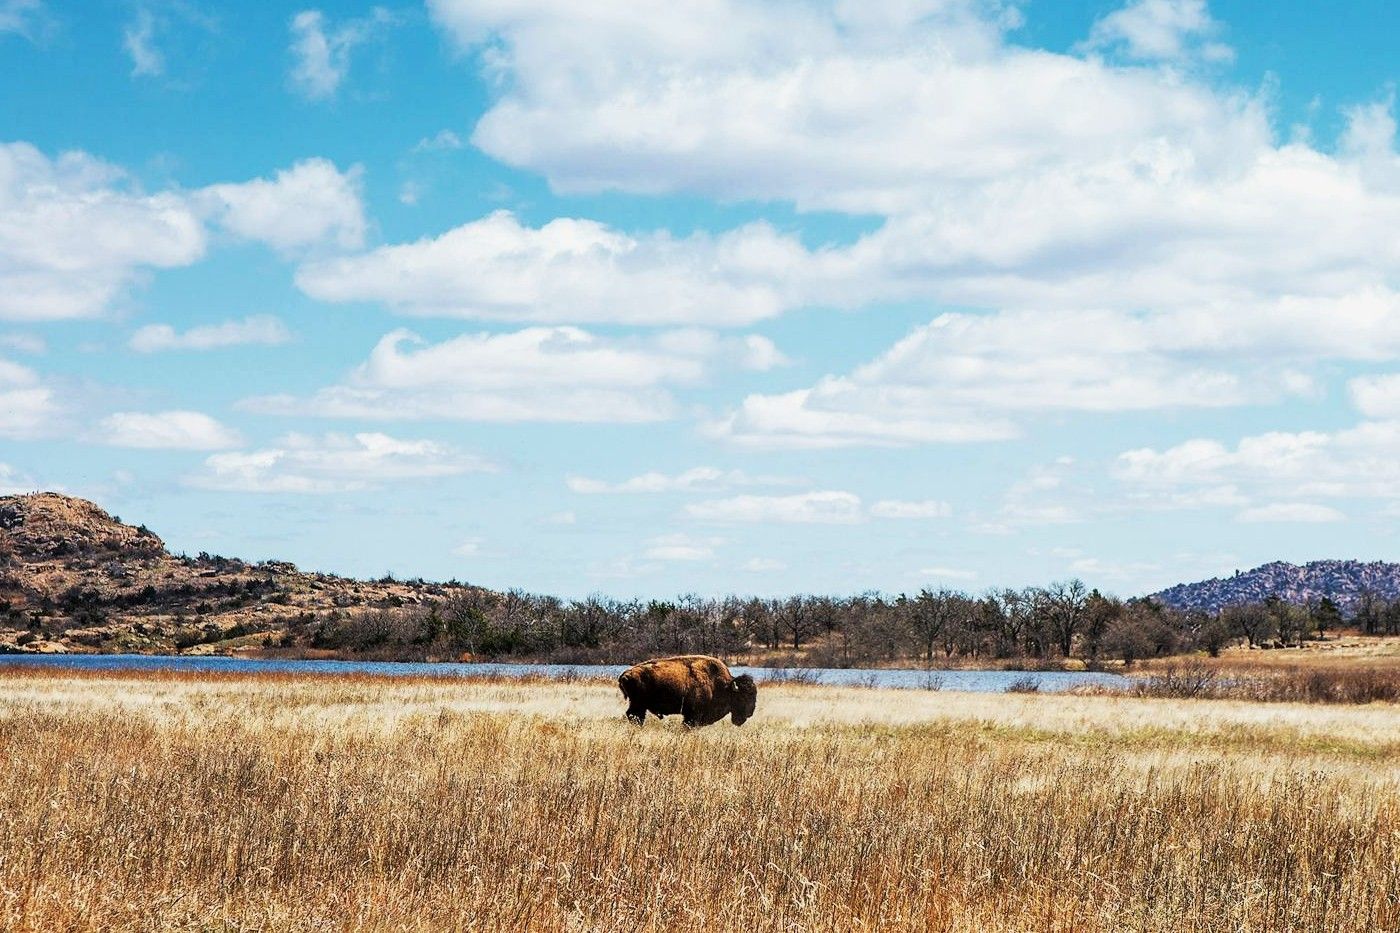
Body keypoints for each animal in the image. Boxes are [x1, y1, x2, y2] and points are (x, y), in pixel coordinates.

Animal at [618, 655, 757, 728]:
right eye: (743, 696)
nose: (750, 713)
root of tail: (625, 675)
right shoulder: (692, 715)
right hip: (639, 704)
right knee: (634, 716)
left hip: (638, 705)